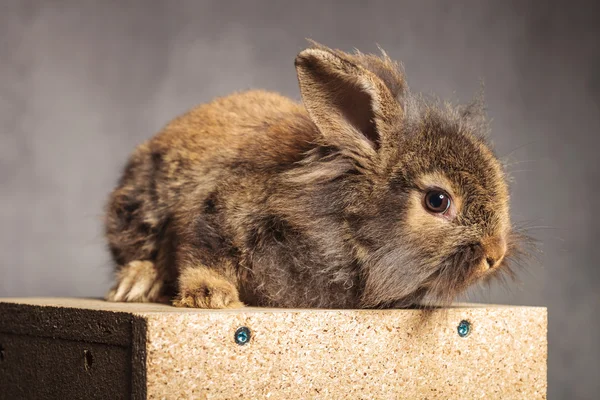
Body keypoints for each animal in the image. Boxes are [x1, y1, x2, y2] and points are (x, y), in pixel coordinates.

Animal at [105, 41, 524, 310]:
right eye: (438, 201)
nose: (495, 254)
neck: (342, 220)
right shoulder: (214, 211)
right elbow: (203, 253)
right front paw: (210, 297)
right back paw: (135, 284)